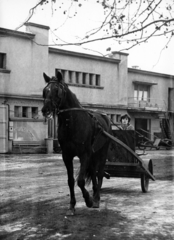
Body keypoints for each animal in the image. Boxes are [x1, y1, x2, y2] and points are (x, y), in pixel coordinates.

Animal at [41, 70, 112, 215]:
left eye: (57, 90)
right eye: (45, 91)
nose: (45, 109)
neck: (72, 122)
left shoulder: (84, 154)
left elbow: (80, 181)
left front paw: (88, 200)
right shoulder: (67, 156)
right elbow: (70, 181)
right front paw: (72, 206)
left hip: (102, 152)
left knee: (100, 172)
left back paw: (96, 198)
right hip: (93, 154)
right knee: (94, 171)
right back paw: (95, 193)